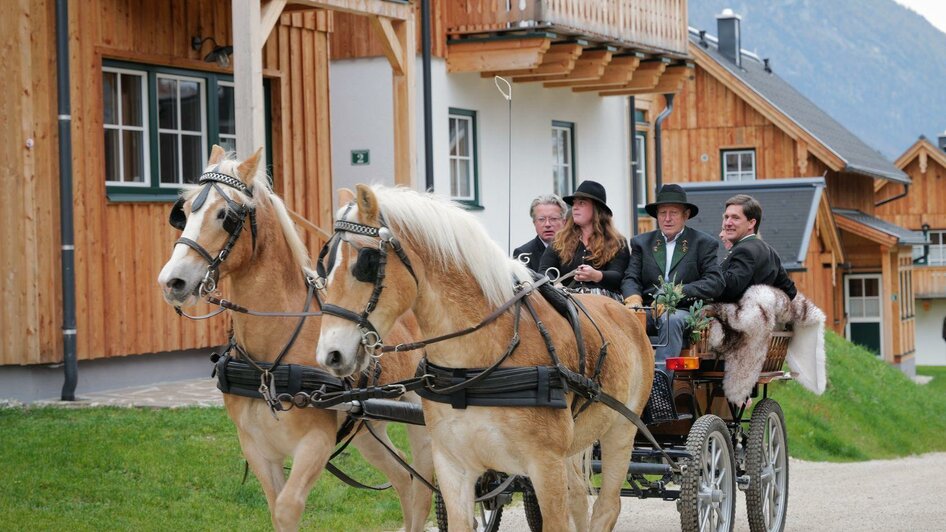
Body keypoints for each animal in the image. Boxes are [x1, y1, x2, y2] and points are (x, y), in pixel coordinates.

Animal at [158, 147, 432, 532]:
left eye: (225, 214)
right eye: (182, 212)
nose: (172, 282)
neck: (269, 362)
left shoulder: (315, 443)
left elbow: (288, 507)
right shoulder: (256, 446)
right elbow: (277, 510)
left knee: (425, 489)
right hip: (368, 430)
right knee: (404, 481)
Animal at [314, 184, 652, 532]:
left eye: (365, 263)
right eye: (324, 266)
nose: (330, 354)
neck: (473, 366)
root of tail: (625, 311)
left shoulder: (546, 464)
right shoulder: (453, 465)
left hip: (621, 432)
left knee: (606, 506)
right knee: (579, 501)